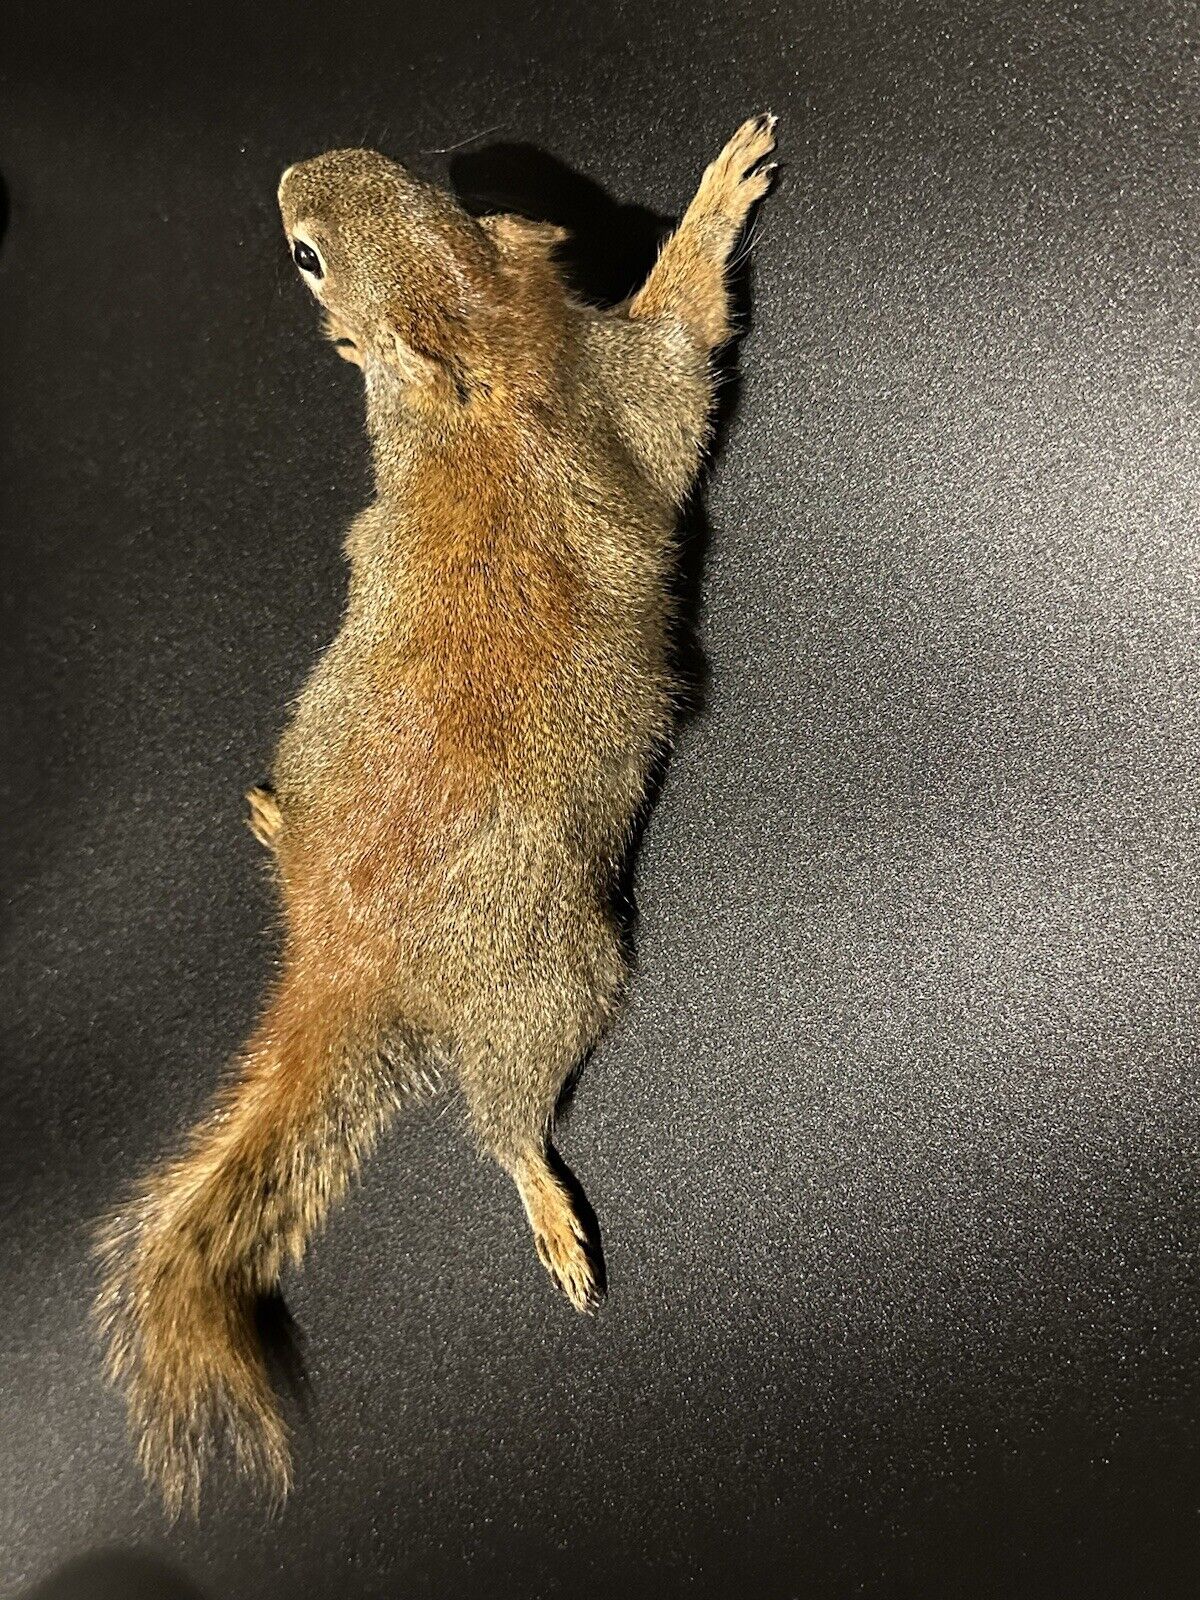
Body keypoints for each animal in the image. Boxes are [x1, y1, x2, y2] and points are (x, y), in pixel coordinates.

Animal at [93, 115, 777, 1515]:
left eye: (400, 177)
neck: (475, 333)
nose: (291, 176)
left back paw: (272, 822)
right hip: (550, 977)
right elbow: (682, 334)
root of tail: (341, 950)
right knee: (505, 1116)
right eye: (306, 252)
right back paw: (545, 1200)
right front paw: (716, 197)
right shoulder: (619, 387)